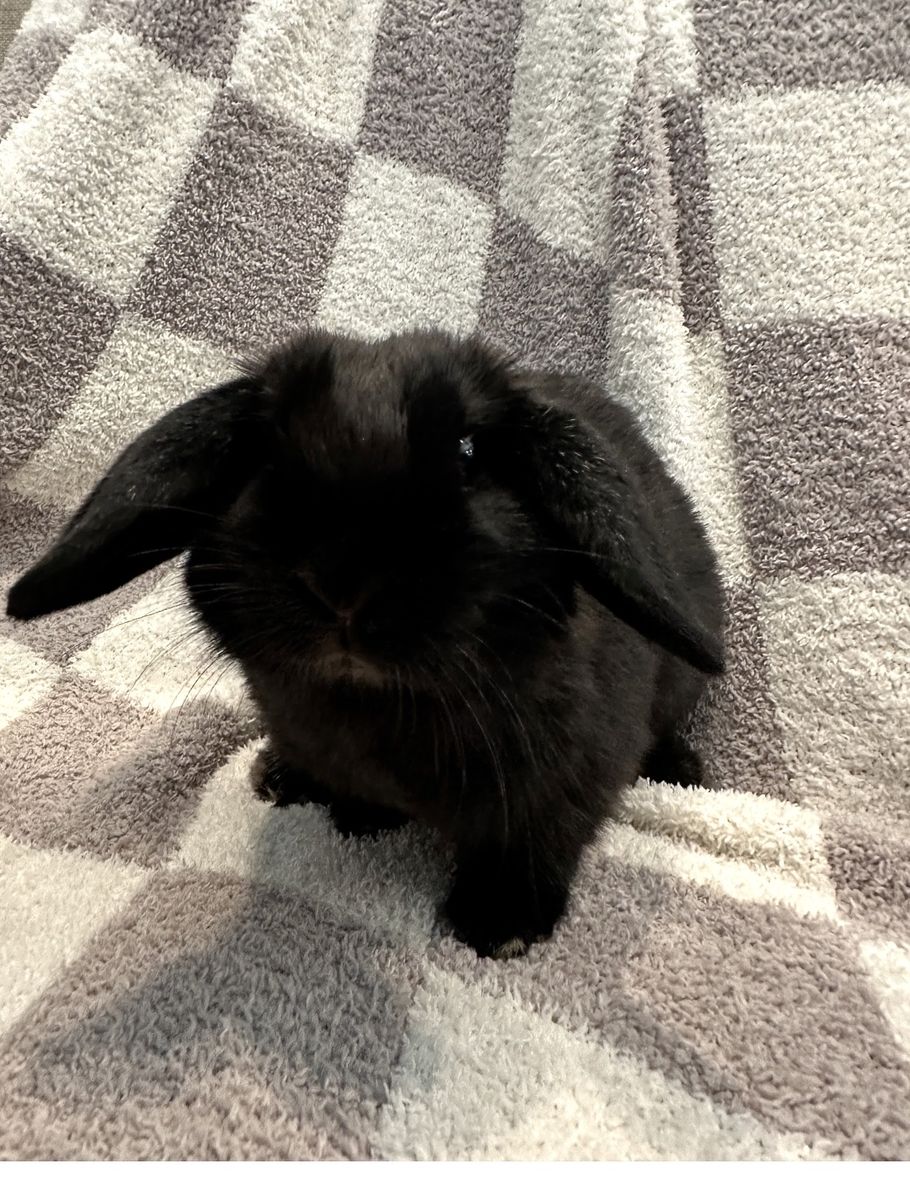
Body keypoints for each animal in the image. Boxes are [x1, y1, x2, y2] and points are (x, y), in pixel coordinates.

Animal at [7, 329, 725, 959]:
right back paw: (280, 774)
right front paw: (353, 814)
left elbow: (535, 842)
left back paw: (682, 770)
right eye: (265, 448)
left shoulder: (572, 781)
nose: (341, 580)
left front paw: (498, 927)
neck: (374, 707)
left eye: (468, 451)